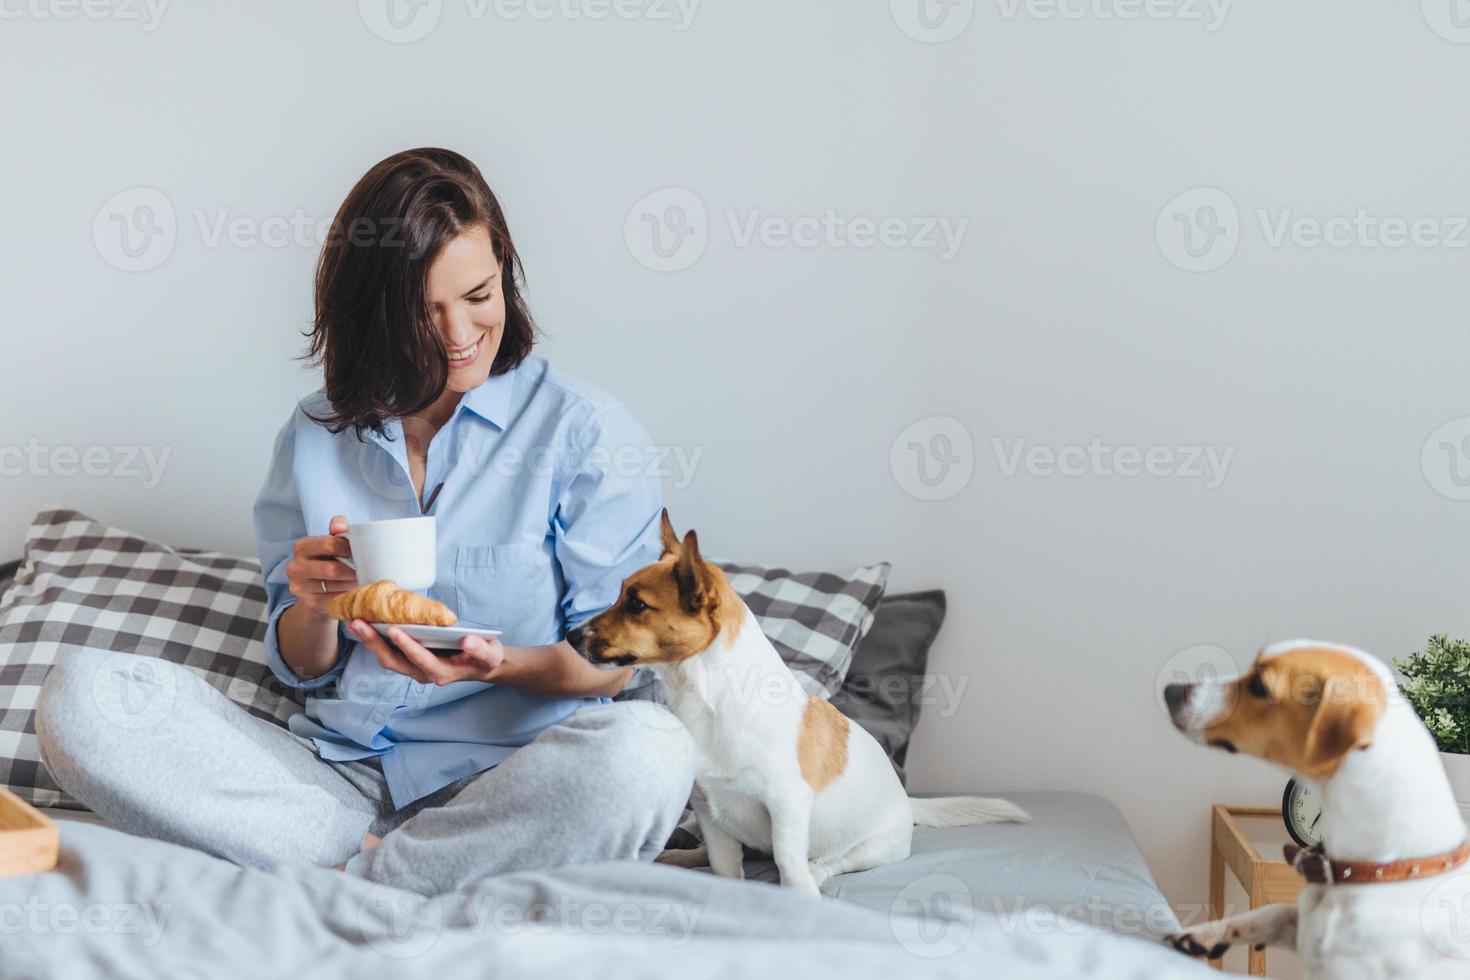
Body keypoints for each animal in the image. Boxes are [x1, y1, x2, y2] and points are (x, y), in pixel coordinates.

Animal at [561, 514, 1023, 899]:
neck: (710, 700)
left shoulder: (786, 803)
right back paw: (677, 854)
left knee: (832, 861)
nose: (569, 635)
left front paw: (799, 894)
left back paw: (815, 871)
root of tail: (909, 803)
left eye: (637, 604)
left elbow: (786, 860)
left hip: (875, 848)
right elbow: (723, 864)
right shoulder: (710, 812)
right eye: (619, 596)